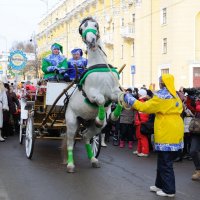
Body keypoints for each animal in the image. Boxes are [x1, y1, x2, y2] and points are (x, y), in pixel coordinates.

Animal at [65, 17, 122, 173]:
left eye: (95, 25)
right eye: (81, 29)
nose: (91, 40)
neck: (99, 66)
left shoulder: (113, 91)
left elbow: (120, 98)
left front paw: (113, 116)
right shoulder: (92, 94)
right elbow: (101, 100)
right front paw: (100, 118)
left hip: (92, 128)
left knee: (85, 137)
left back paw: (93, 159)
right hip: (71, 122)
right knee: (70, 142)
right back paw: (70, 164)